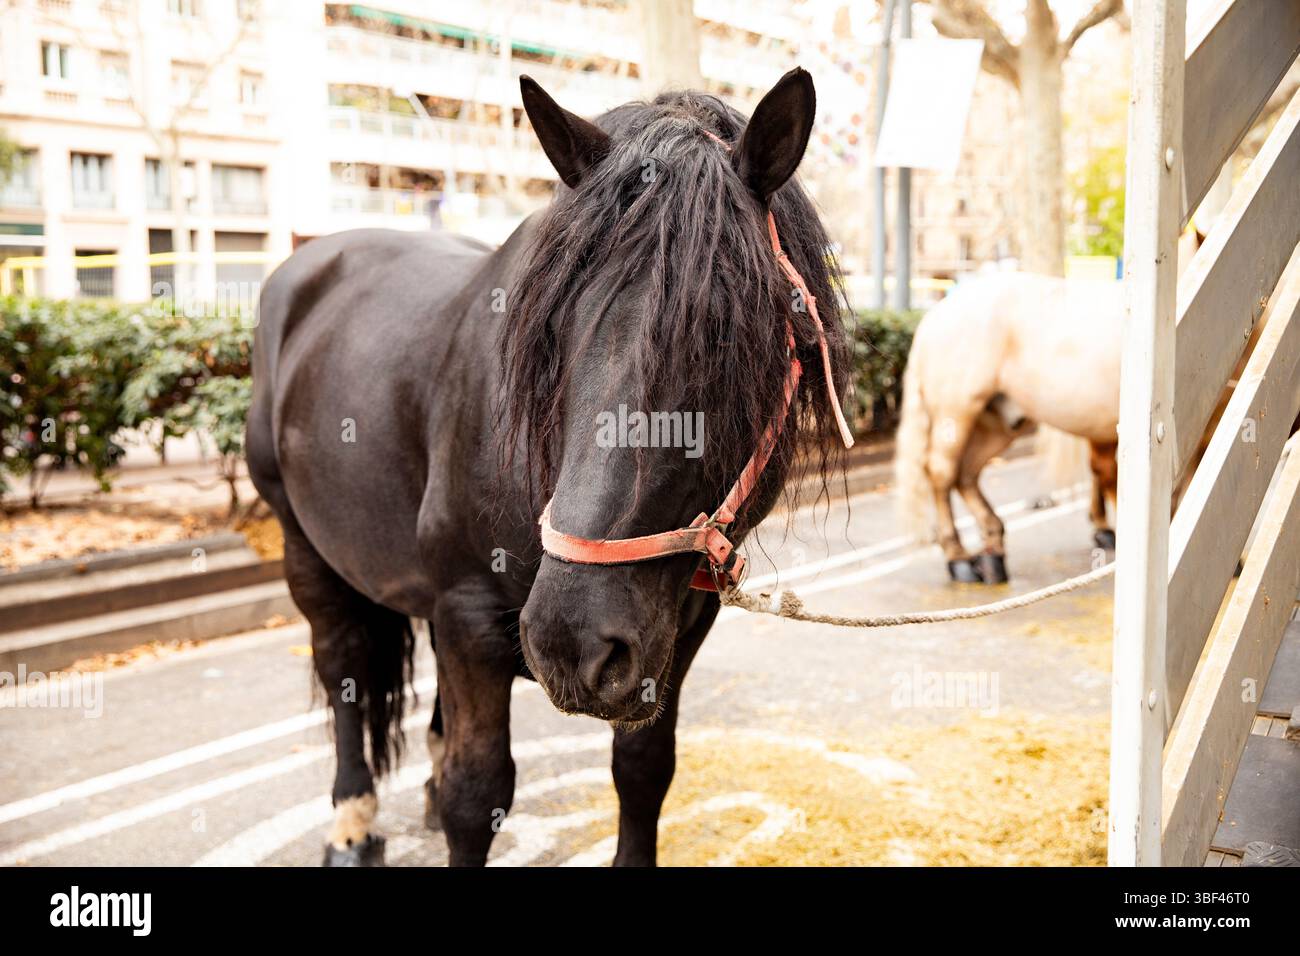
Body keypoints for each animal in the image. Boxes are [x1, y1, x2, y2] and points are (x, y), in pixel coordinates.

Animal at [246, 68, 850, 866]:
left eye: (728, 337)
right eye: (551, 329)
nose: (573, 639)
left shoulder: (680, 626)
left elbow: (643, 769)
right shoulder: (467, 611)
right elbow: (478, 795)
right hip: (305, 546)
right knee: (343, 664)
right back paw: (351, 824)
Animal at [894, 272, 1123, 584]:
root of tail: (933, 316)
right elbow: (1109, 474)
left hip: (997, 425)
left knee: (966, 474)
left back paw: (992, 551)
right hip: (955, 412)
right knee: (942, 471)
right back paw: (958, 557)